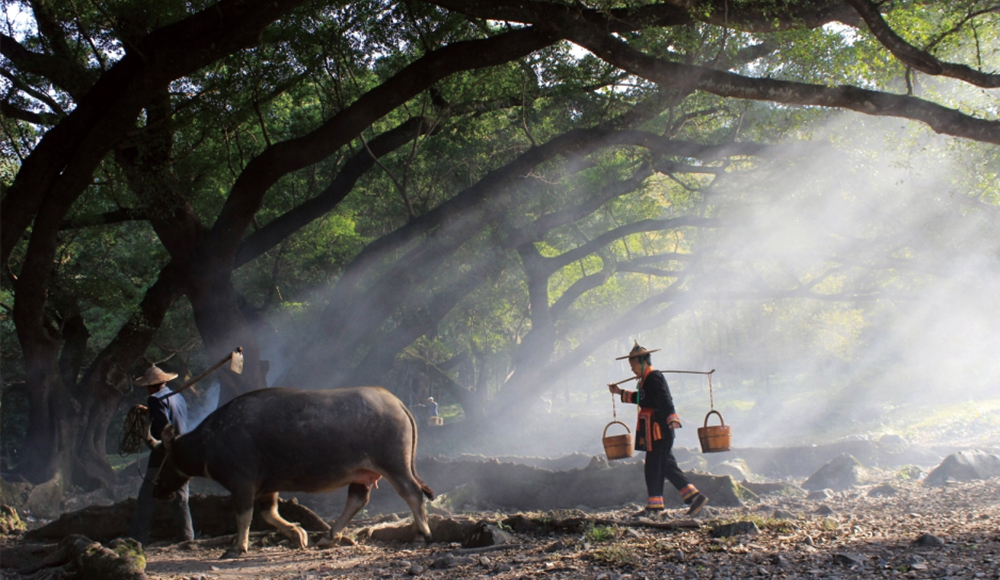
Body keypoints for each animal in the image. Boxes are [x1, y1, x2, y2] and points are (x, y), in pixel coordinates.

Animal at [145, 386, 434, 556]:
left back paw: (423, 535)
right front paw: (298, 534)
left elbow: (244, 516)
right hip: (362, 472)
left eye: (163, 457)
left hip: (394, 464)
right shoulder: (266, 486)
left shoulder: (242, 482)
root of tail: (398, 403)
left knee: (412, 492)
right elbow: (269, 513)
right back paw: (329, 536)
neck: (211, 441)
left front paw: (237, 547)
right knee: (358, 499)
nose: (156, 488)